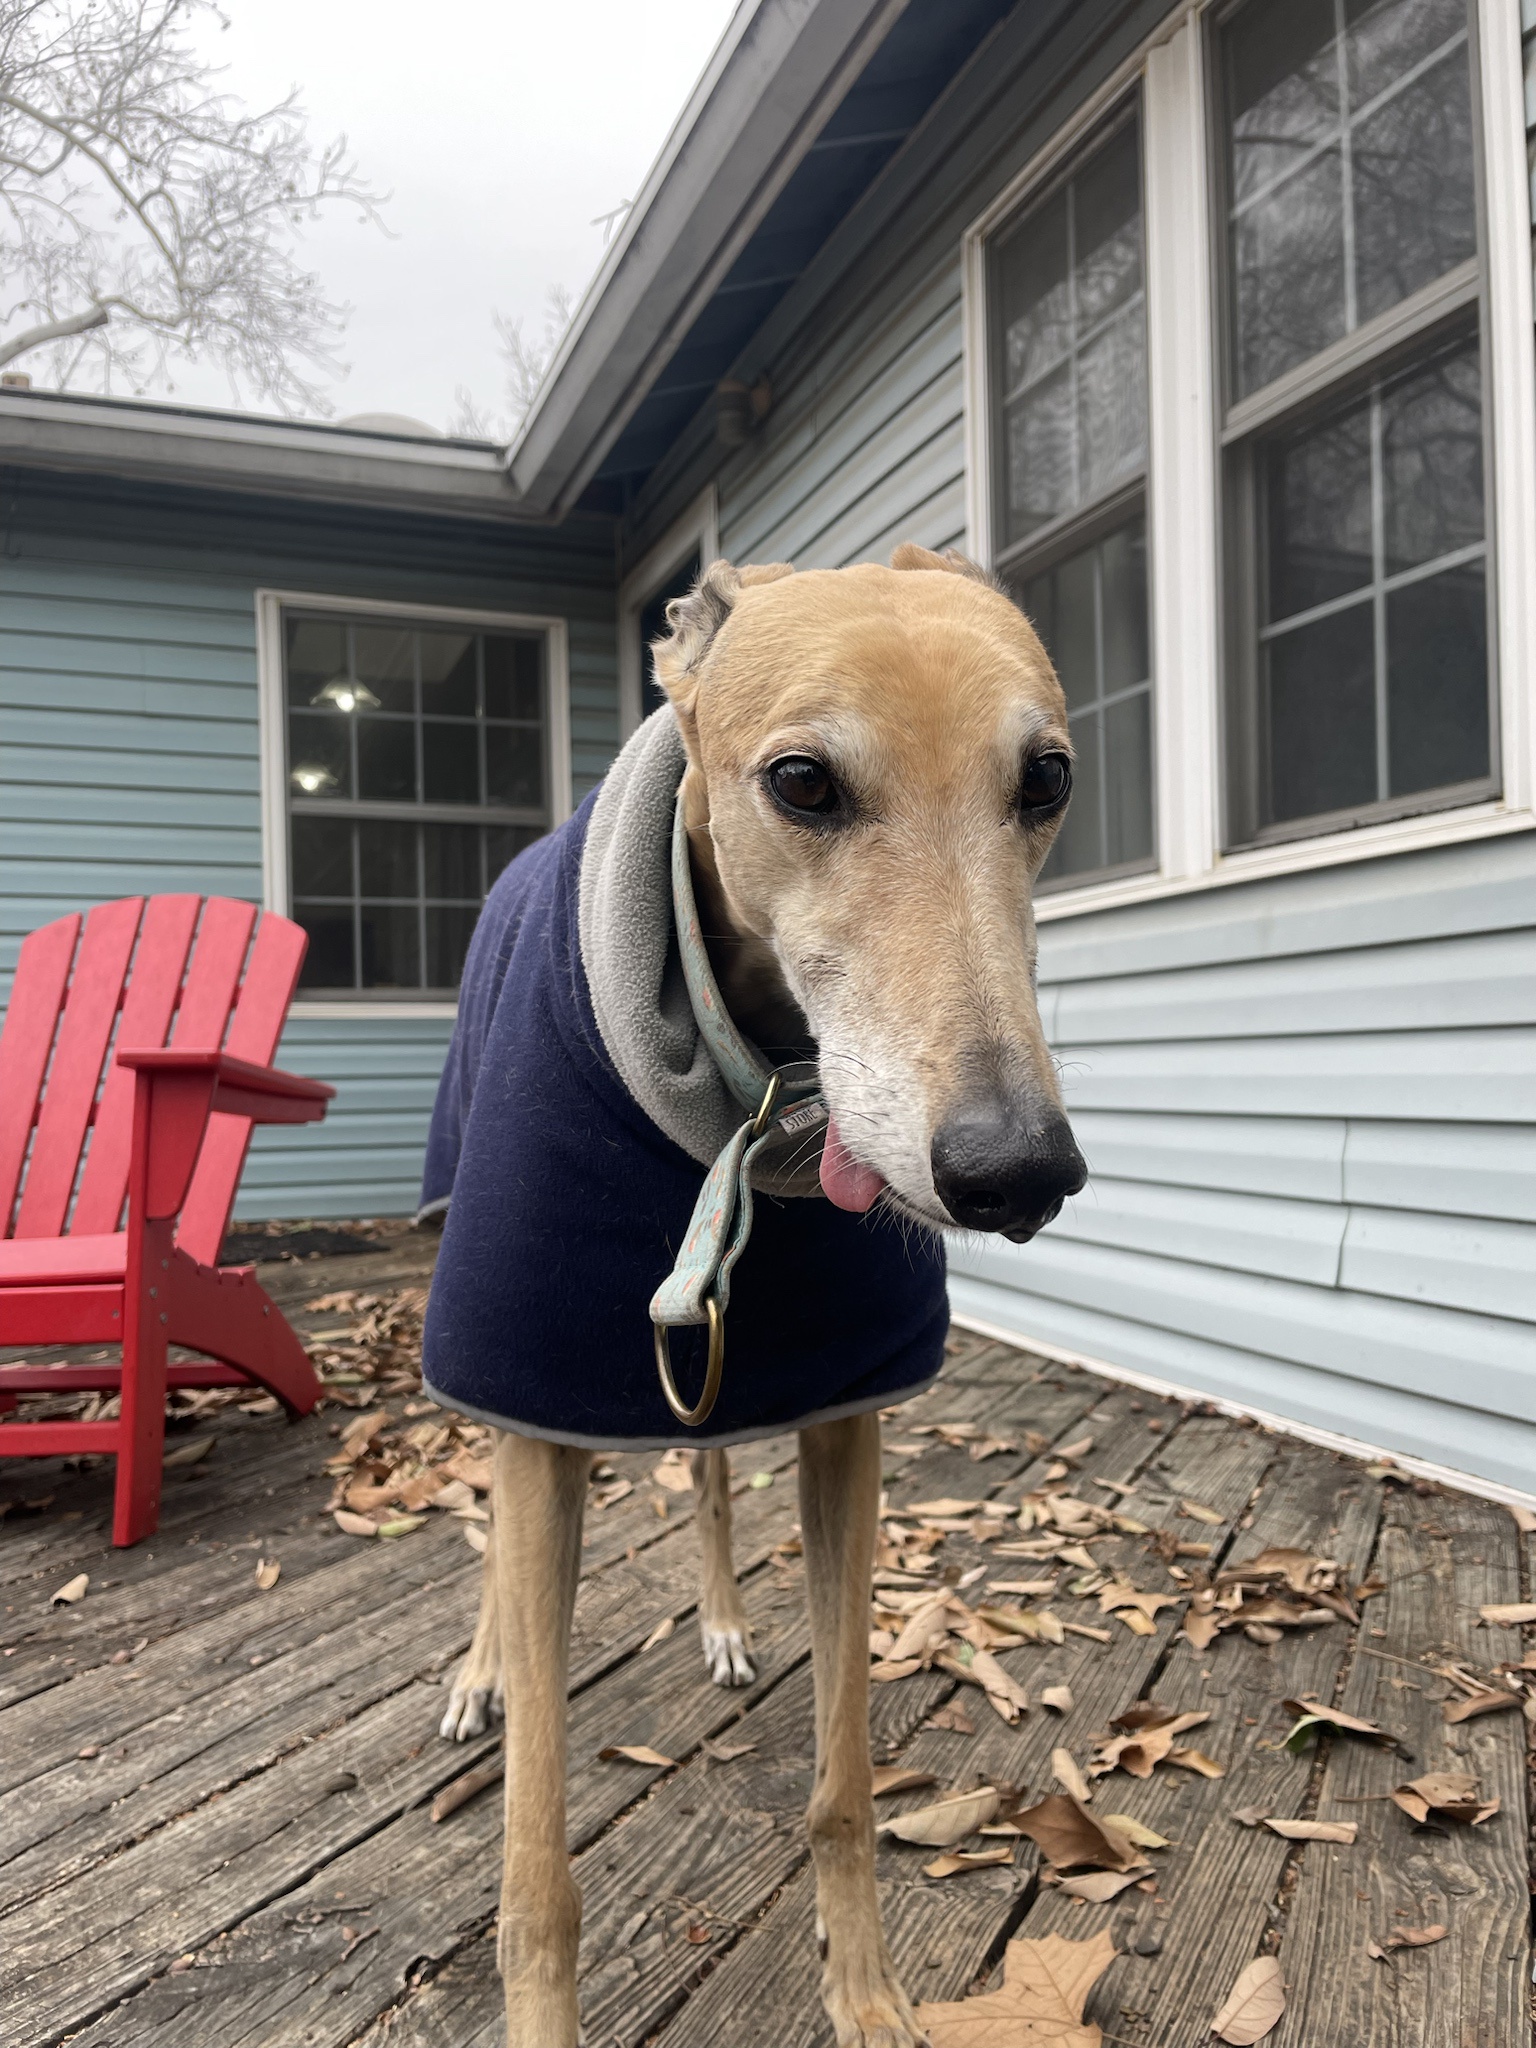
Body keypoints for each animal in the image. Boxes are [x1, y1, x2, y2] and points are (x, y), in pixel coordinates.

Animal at [434, 548, 1081, 2048]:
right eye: (802, 782)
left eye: (1047, 780)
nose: (1018, 1170)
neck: (742, 1090)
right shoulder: (537, 1397)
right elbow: (536, 1870)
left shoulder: (845, 1417)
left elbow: (843, 1785)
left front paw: (869, 1996)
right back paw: (485, 1667)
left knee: (717, 1472)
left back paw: (728, 1621)